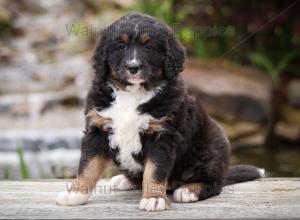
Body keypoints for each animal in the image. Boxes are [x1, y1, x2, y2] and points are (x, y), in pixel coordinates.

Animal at [55, 12, 264, 211]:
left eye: (148, 47)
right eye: (121, 46)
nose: (133, 67)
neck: (132, 94)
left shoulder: (162, 135)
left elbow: (154, 171)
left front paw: (153, 198)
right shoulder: (97, 129)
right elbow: (87, 166)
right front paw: (75, 193)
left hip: (211, 147)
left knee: (214, 183)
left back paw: (189, 190)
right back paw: (123, 180)